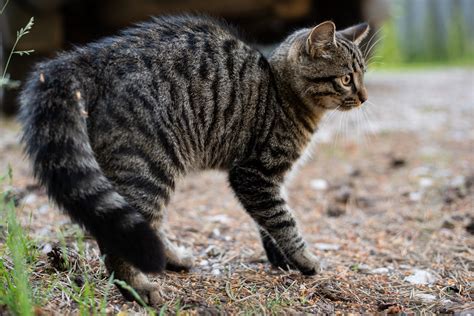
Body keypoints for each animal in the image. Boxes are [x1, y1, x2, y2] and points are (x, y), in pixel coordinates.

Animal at [20, 14, 370, 304]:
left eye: (363, 75)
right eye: (346, 79)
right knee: (118, 240)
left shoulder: (268, 182)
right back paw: (140, 288)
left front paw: (281, 257)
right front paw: (304, 258)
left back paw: (170, 258)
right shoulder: (254, 175)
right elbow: (283, 220)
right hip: (148, 166)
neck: (281, 92)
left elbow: (270, 221)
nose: (365, 97)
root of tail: (90, 57)